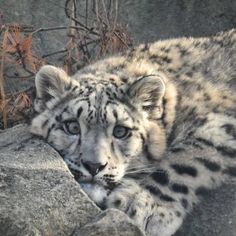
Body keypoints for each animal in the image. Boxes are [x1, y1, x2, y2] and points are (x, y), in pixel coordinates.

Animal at [30, 29, 235, 234]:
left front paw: (140, 203)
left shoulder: (224, 122)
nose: (93, 165)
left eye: (121, 131)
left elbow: (187, 160)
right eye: (72, 126)